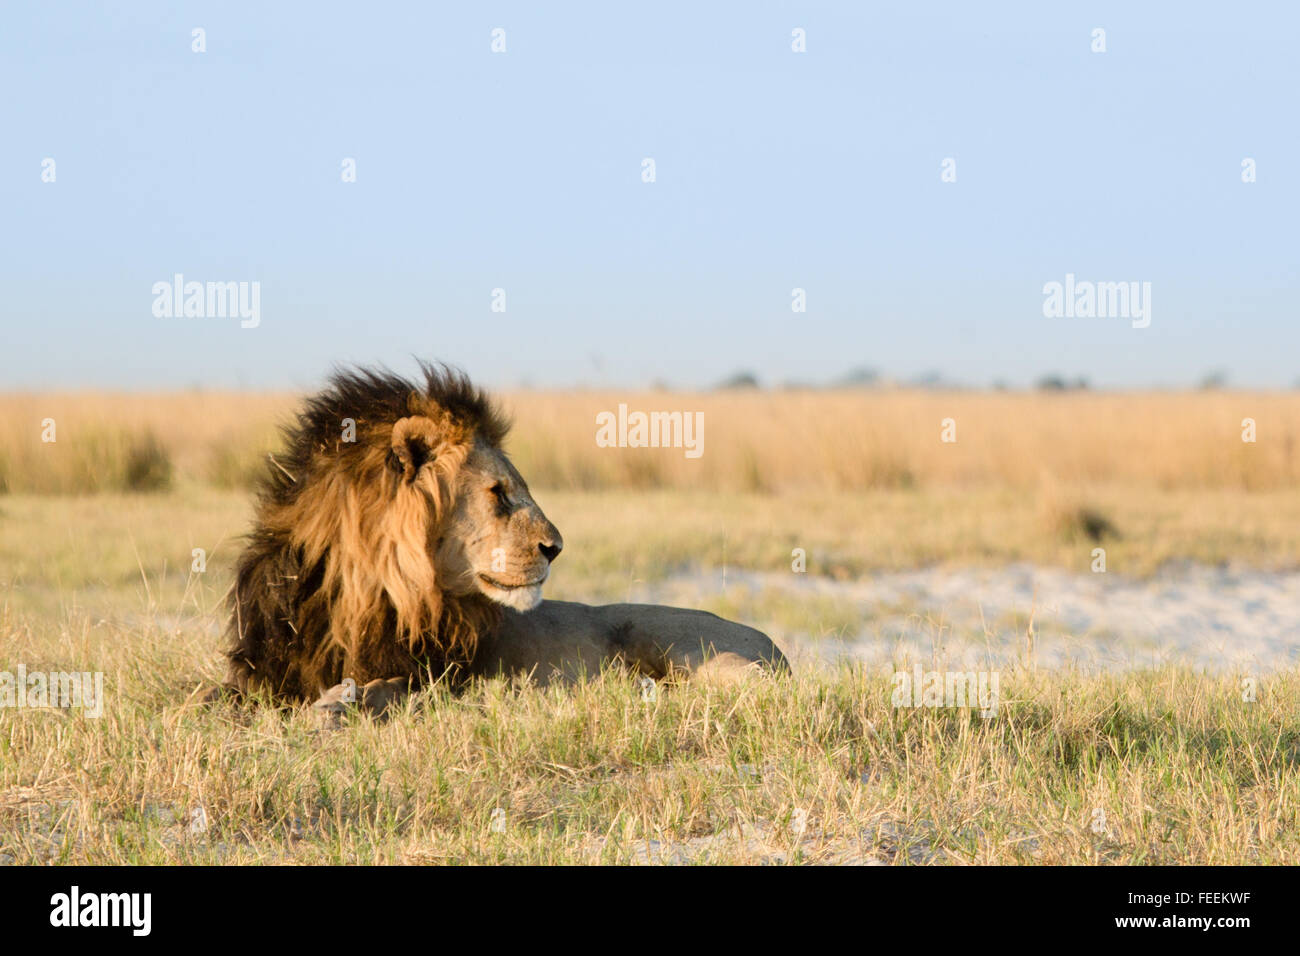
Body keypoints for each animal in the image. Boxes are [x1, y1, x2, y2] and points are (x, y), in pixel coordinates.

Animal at [218, 358, 780, 712]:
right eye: (499, 492)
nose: (556, 548)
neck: (360, 589)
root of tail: (775, 646)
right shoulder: (258, 671)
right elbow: (216, 699)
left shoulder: (443, 676)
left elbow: (389, 688)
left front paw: (338, 704)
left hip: (688, 645)